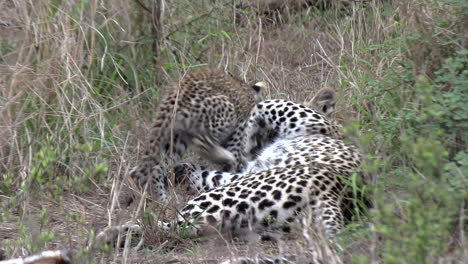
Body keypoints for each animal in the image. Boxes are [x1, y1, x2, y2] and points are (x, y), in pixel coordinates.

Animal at [130, 67, 266, 201]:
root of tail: (177, 92)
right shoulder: (240, 129)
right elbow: (235, 158)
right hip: (226, 111)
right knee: (200, 142)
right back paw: (224, 156)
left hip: (176, 137)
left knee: (158, 167)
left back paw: (163, 200)